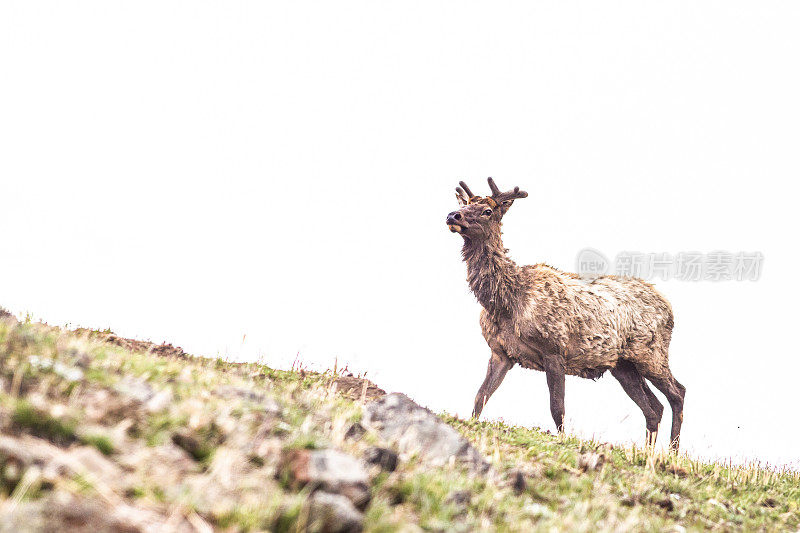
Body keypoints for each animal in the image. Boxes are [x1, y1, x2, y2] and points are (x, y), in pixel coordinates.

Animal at [446, 179, 684, 448]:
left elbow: (557, 408)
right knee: (653, 408)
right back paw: (648, 451)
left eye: (487, 211)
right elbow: (480, 397)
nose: (452, 215)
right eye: (466, 204)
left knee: (678, 393)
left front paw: (561, 440)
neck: (505, 303)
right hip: (623, 366)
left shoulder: (554, 350)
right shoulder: (500, 353)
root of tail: (669, 307)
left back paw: (673, 450)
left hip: (651, 354)